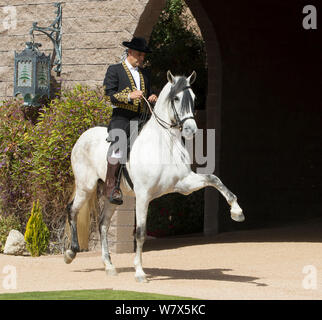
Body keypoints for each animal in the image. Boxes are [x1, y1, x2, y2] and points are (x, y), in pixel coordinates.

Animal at [64, 70, 243, 282]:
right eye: (176, 98)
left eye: (193, 98)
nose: (191, 130)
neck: (165, 144)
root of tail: (83, 137)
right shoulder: (143, 195)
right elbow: (140, 233)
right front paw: (140, 272)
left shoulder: (184, 184)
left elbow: (214, 179)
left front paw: (237, 211)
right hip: (86, 187)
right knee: (72, 210)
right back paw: (70, 253)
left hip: (111, 196)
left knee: (103, 224)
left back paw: (109, 266)